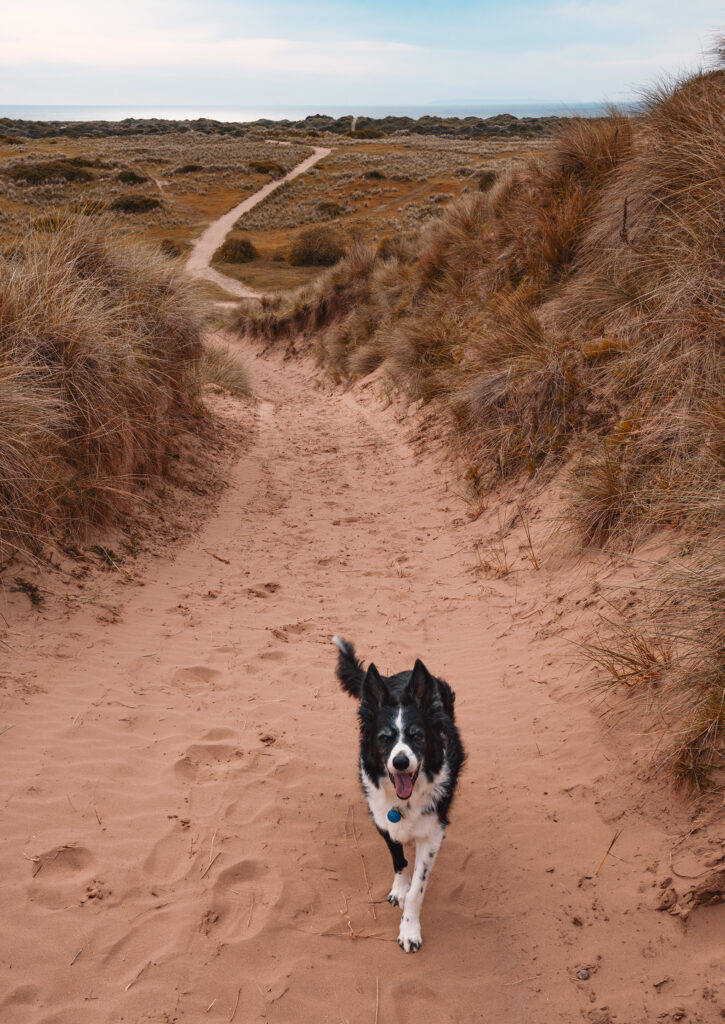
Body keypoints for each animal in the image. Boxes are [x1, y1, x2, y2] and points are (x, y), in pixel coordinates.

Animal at [333, 630, 464, 950]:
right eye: (384, 738)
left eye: (417, 736)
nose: (401, 761)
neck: (405, 802)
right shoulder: (383, 821)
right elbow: (399, 860)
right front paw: (399, 889)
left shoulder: (433, 833)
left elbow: (418, 887)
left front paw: (409, 929)